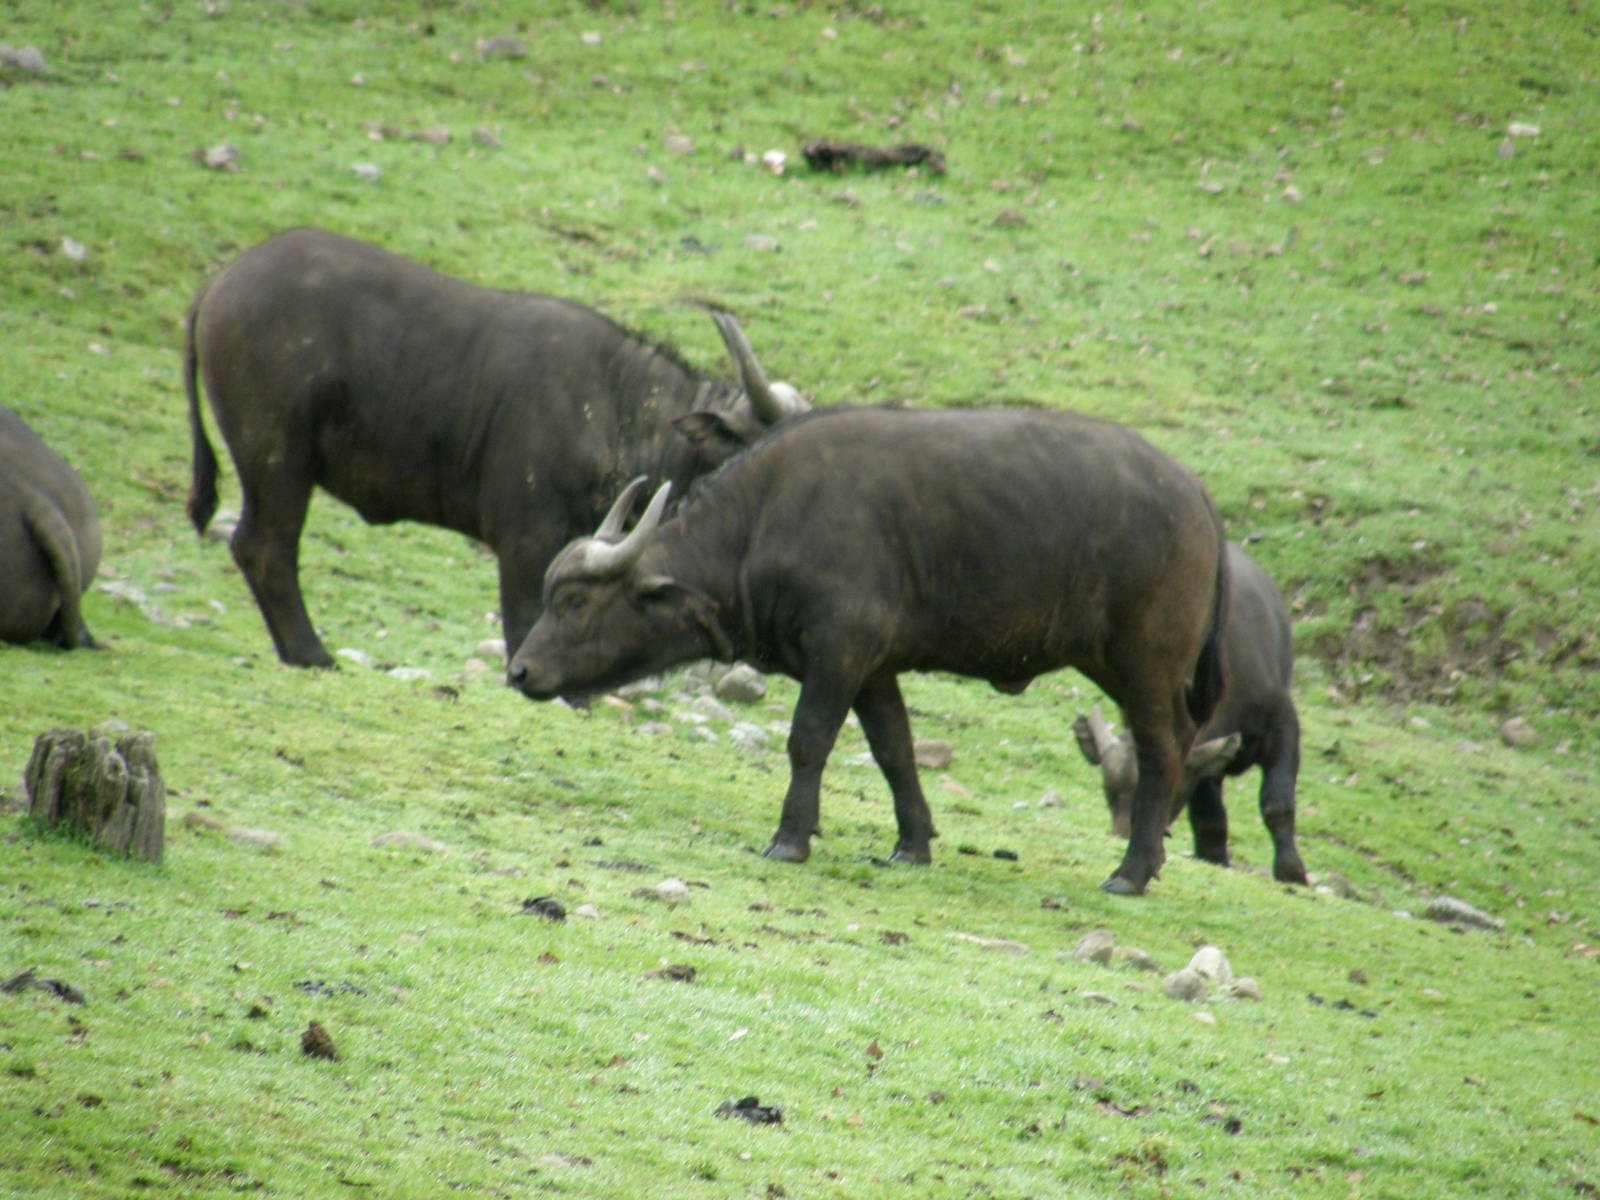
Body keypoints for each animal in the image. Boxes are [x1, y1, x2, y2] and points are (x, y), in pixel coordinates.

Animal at [184, 227, 807, 667]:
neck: (615, 405)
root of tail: (220, 283)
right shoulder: (525, 541)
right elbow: (526, 619)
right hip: (277, 459)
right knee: (265, 548)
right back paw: (312, 654)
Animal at [508, 407, 1229, 895]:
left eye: (574, 602)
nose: (520, 669)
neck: (767, 520)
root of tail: (1197, 495)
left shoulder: (840, 649)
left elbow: (808, 739)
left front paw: (789, 838)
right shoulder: (875, 668)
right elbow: (894, 751)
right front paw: (912, 844)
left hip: (1144, 658)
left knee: (1162, 747)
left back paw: (1131, 871)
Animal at [1073, 540, 1308, 884]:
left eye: (1169, 790)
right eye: (1109, 793)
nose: (1121, 834)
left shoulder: (1283, 723)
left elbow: (1277, 803)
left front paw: (1292, 870)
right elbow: (1209, 816)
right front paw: (1213, 857)